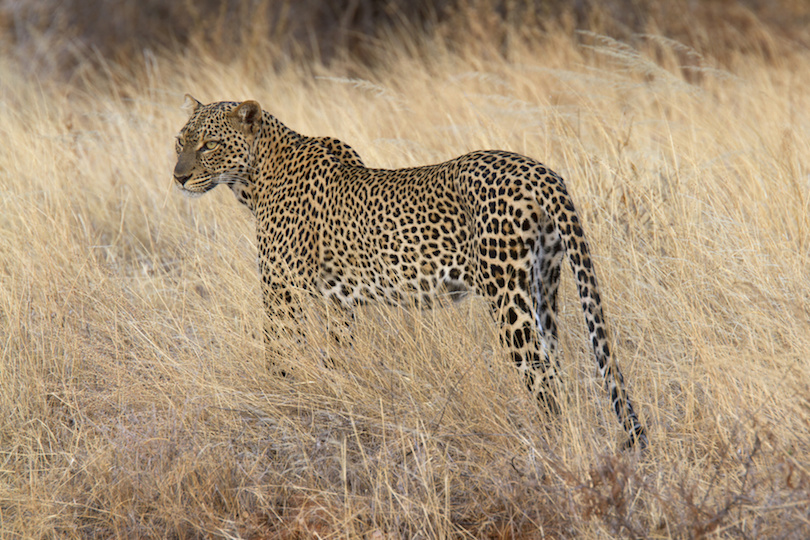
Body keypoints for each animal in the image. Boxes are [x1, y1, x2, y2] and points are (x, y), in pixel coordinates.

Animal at [174, 95, 648, 450]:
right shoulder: (336, 301)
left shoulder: (280, 289)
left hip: (507, 296)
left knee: (542, 376)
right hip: (545, 286)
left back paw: (546, 446)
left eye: (208, 145)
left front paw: (277, 399)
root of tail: (540, 171)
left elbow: (279, 354)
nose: (178, 177)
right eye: (180, 140)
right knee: (558, 366)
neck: (252, 179)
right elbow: (336, 359)